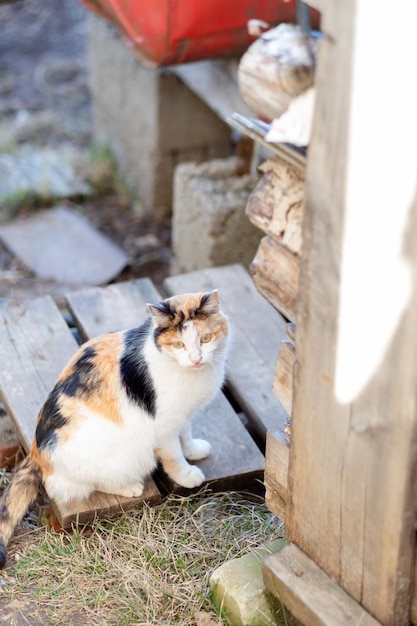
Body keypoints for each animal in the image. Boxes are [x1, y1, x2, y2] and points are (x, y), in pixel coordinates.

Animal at [0, 288, 229, 564]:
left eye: (206, 338)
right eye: (179, 345)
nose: (196, 359)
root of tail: (35, 453)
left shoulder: (181, 415)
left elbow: (186, 433)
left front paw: (194, 450)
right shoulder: (164, 425)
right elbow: (173, 456)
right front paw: (186, 475)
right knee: (89, 483)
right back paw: (129, 487)